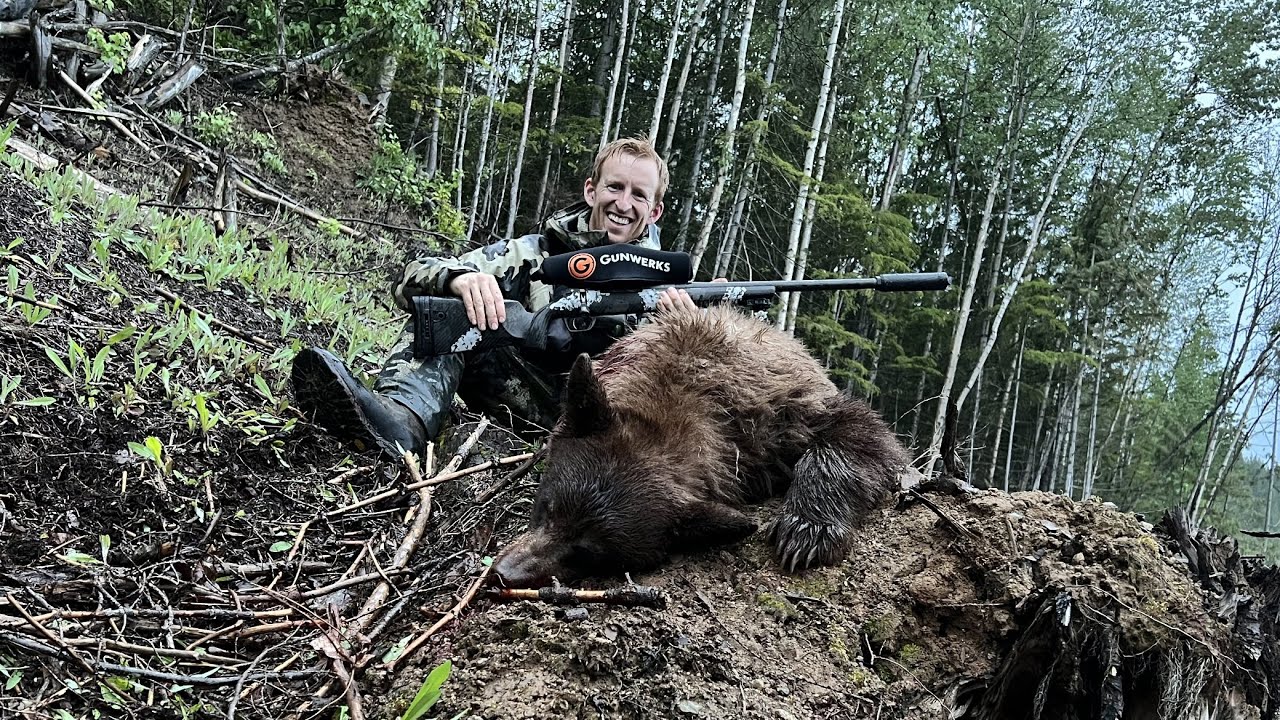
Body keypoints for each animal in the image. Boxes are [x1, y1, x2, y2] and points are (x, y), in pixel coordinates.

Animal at [493, 305, 910, 588]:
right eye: (547, 508)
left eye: (587, 552)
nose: (504, 574)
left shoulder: (782, 416)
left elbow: (862, 432)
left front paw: (807, 530)